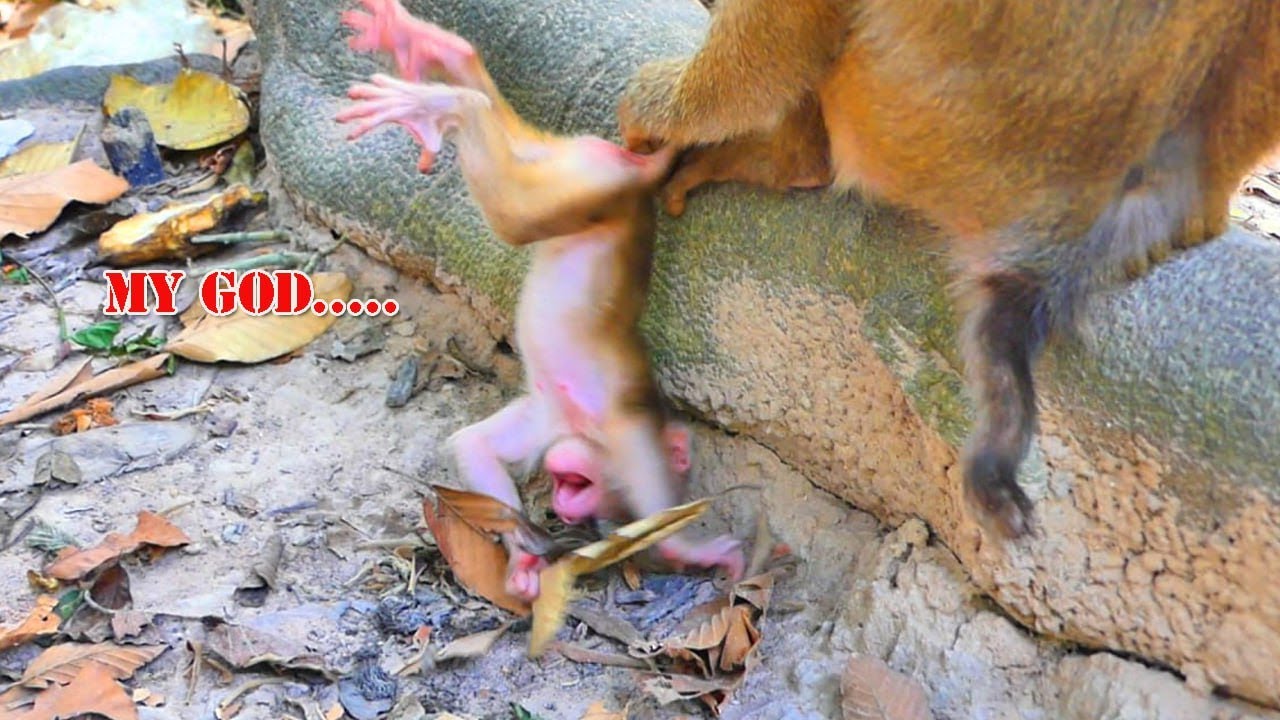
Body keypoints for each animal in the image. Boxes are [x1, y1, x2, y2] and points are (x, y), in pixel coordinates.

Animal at [335, 0, 745, 600]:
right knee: (513, 212)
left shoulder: (545, 418)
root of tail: (635, 181)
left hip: (571, 164)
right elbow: (655, 496)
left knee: (517, 171)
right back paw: (447, 104)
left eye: (571, 486)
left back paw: (442, 57)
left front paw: (522, 556)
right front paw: (692, 549)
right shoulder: (624, 428)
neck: (576, 425)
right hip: (598, 188)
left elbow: (473, 448)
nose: (563, 503)